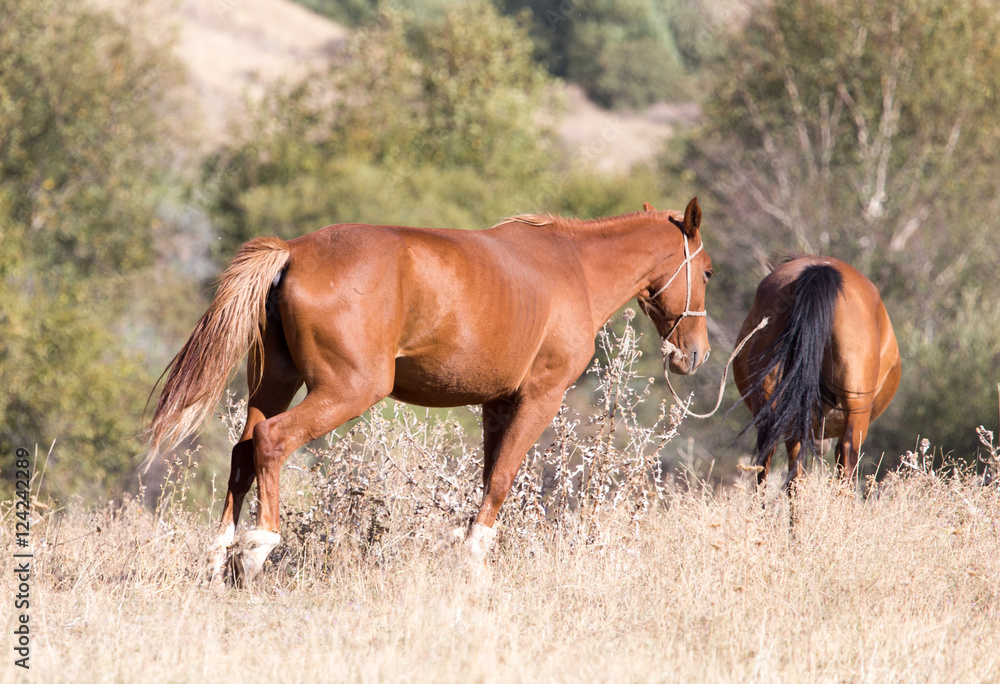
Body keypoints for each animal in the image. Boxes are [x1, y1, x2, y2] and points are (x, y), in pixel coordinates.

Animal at [146, 198, 714, 584]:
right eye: (708, 272)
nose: (697, 353)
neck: (574, 267)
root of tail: (294, 252)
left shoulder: (495, 404)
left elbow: (488, 479)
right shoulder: (539, 397)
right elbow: (501, 481)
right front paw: (473, 565)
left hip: (274, 383)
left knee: (243, 452)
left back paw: (219, 554)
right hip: (347, 390)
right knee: (272, 443)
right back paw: (257, 547)